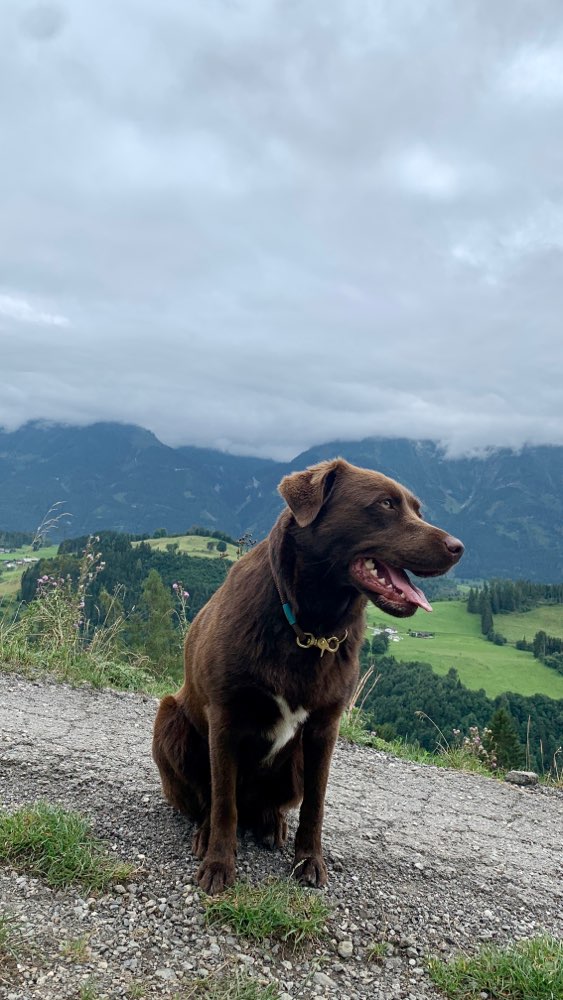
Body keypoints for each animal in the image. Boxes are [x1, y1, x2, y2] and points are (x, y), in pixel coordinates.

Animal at [151, 458, 462, 896]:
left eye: (418, 510)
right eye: (385, 504)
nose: (458, 547)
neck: (309, 627)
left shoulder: (323, 730)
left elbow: (316, 804)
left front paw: (309, 861)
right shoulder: (225, 718)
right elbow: (223, 801)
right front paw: (219, 863)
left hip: (292, 761)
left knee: (265, 805)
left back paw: (271, 823)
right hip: (170, 719)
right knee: (210, 800)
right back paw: (207, 831)